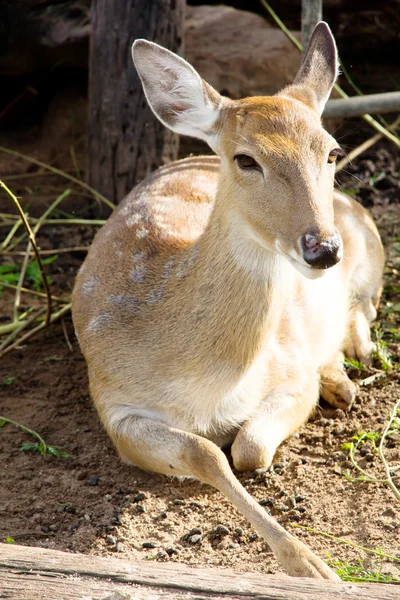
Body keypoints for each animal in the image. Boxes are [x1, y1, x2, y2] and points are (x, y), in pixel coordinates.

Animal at [72, 23, 384, 580]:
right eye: (245, 159)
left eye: (331, 152)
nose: (322, 248)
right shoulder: (112, 403)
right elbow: (208, 454)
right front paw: (311, 564)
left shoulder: (291, 374)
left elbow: (250, 448)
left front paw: (314, 566)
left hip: (372, 244)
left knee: (365, 310)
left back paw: (345, 375)